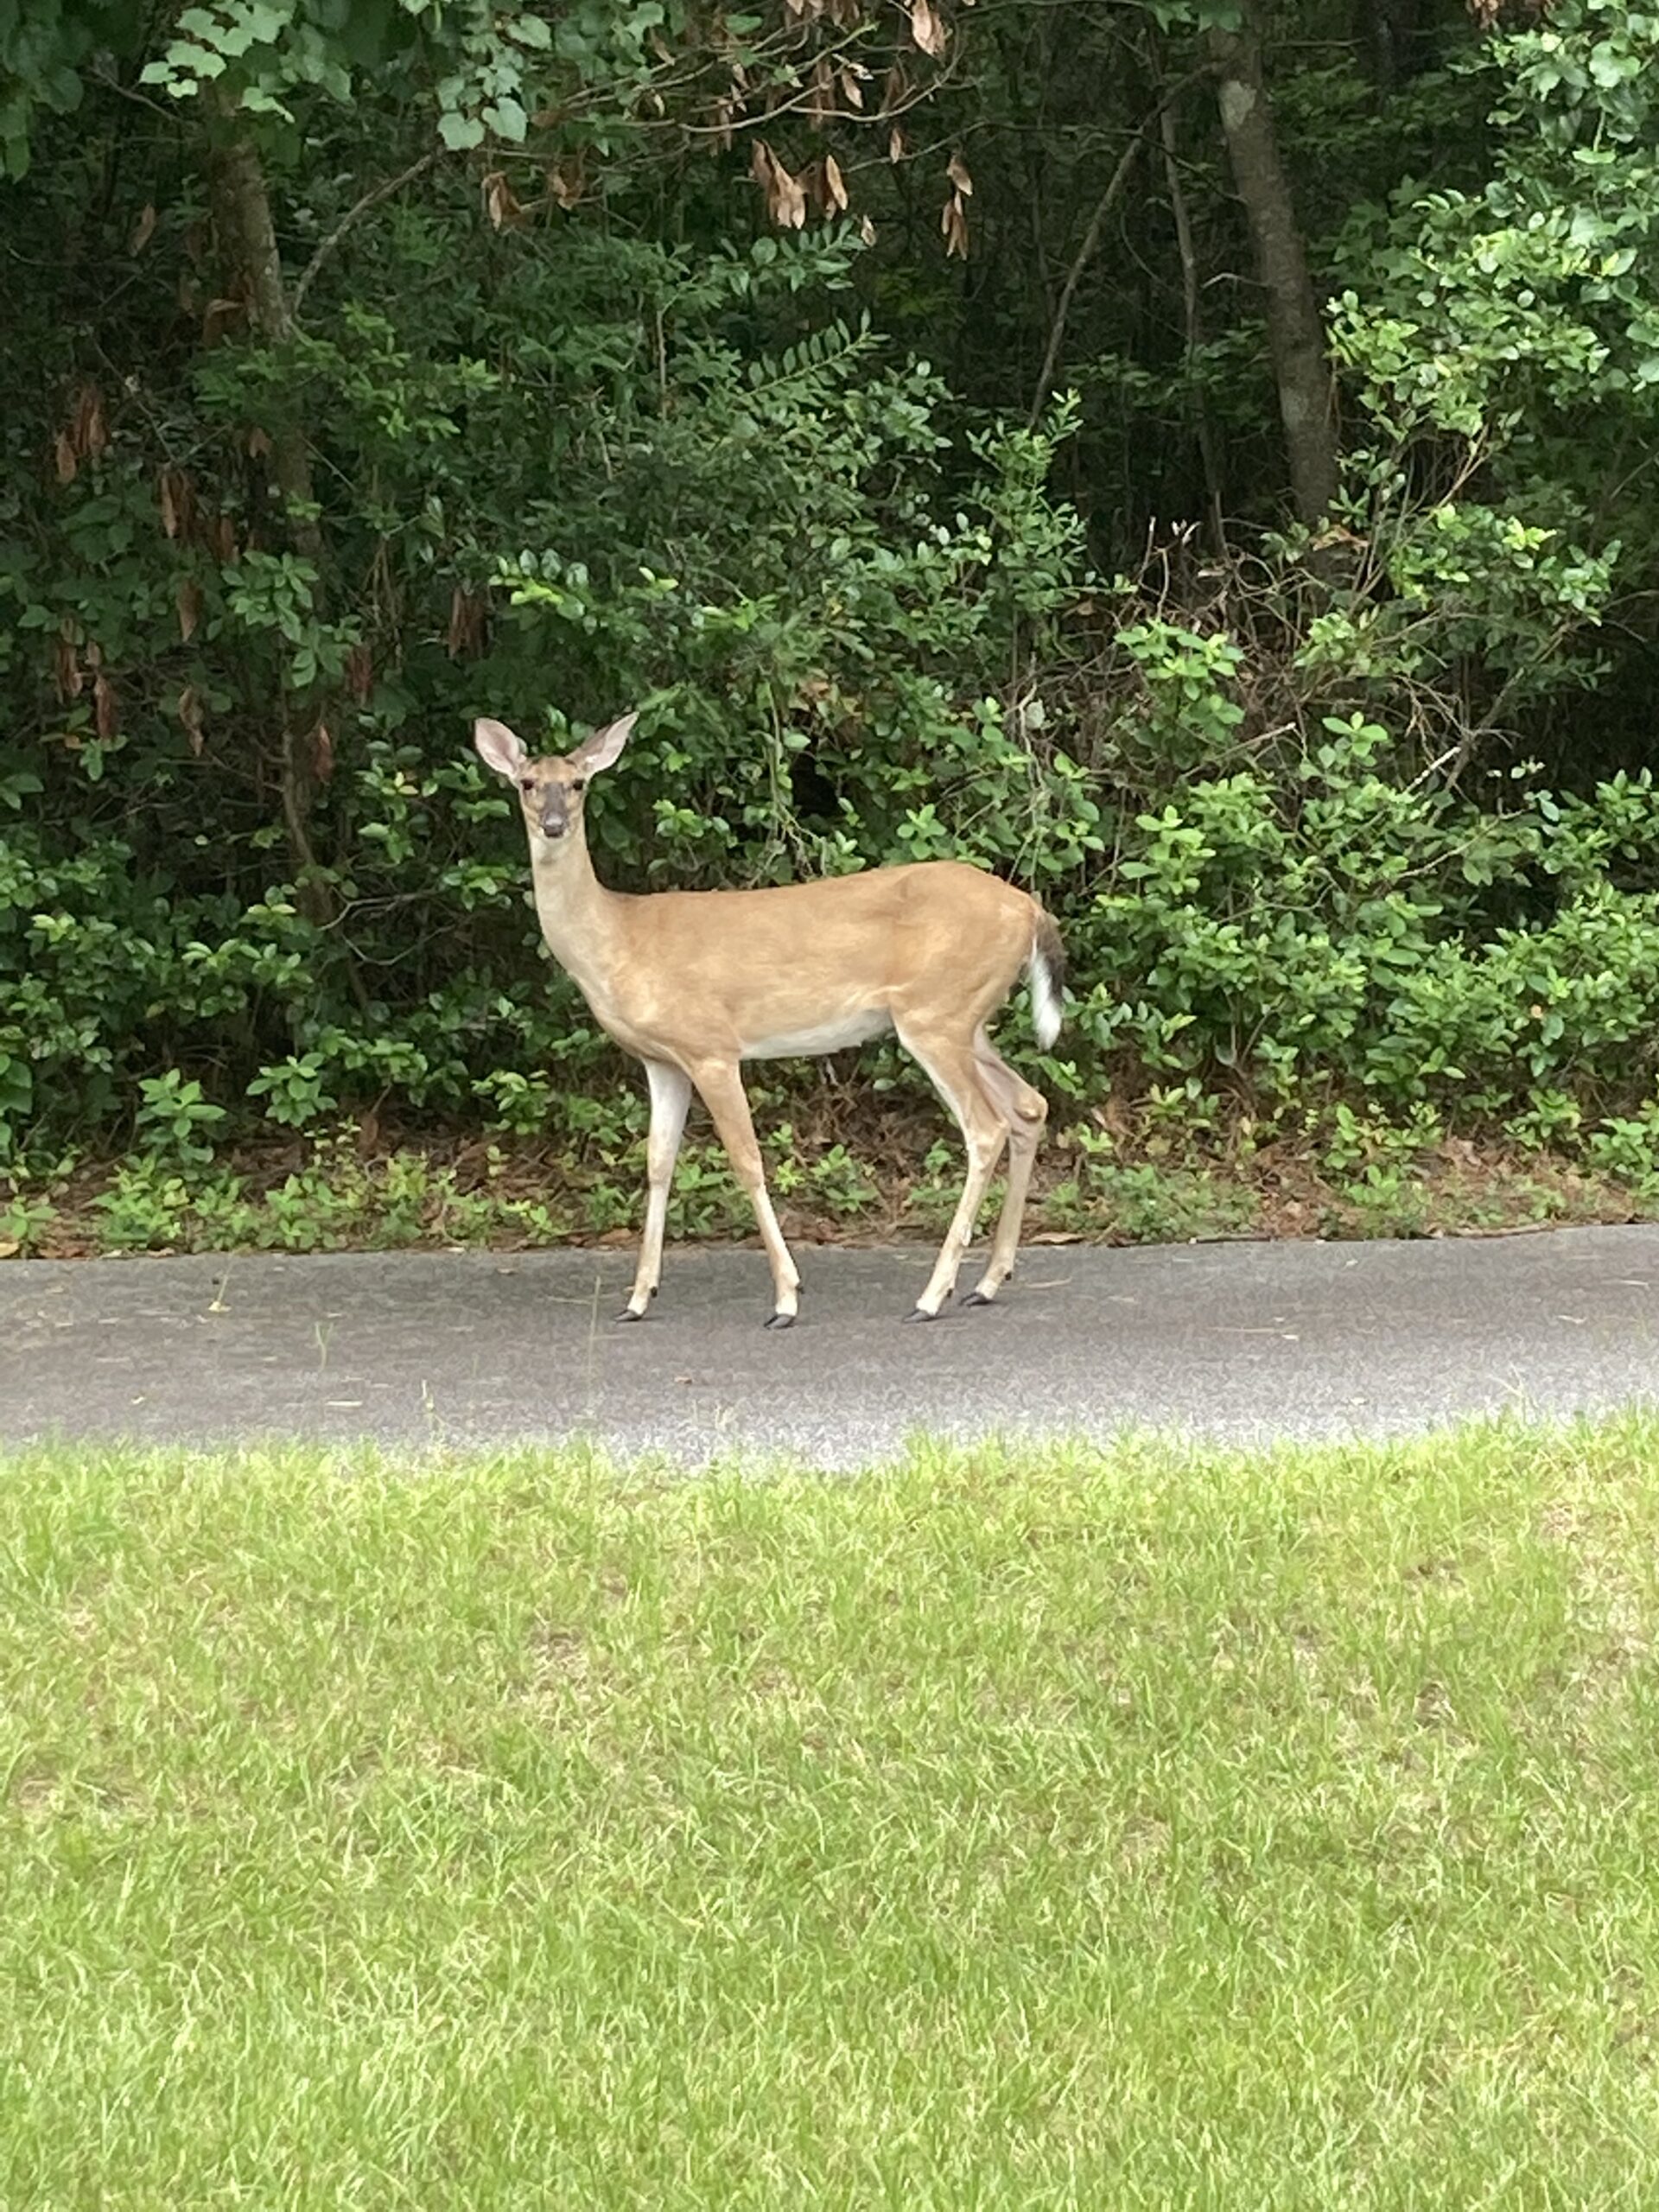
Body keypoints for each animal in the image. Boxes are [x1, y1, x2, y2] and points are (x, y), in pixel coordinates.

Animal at [473, 710, 1065, 1328]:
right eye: (527, 783)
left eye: (578, 783)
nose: (555, 824)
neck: (620, 941)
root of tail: (1029, 909)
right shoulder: (662, 1061)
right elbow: (658, 1164)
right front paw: (637, 1299)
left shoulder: (711, 1047)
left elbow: (748, 1160)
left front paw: (786, 1297)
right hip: (966, 1019)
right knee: (1029, 1106)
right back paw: (987, 1283)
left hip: (935, 1014)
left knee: (986, 1126)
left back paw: (931, 1296)